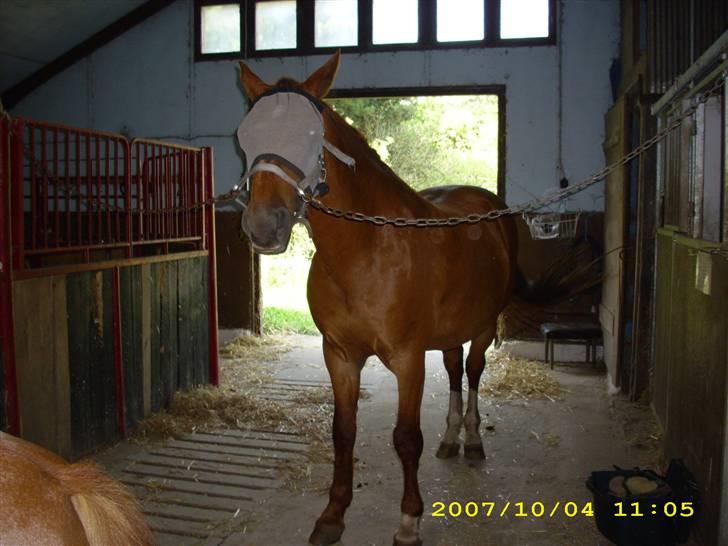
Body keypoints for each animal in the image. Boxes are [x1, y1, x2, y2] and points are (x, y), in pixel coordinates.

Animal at [237, 52, 516, 544]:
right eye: (246, 135)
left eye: (311, 134)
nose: (264, 226)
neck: (366, 252)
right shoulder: (340, 355)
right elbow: (343, 431)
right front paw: (332, 515)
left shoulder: (408, 359)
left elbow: (406, 439)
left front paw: (409, 521)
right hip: (450, 334)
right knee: (454, 370)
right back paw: (451, 440)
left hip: (482, 328)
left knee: (473, 371)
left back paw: (473, 440)